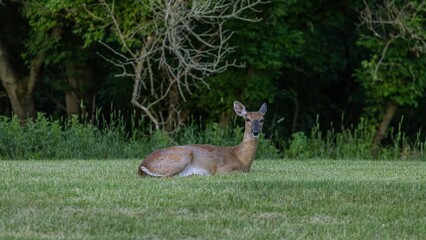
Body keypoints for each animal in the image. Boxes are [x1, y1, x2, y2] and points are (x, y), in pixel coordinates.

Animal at [138, 100, 268, 177]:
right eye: (247, 119)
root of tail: (141, 166)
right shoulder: (222, 169)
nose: (255, 132)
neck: (242, 159)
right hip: (183, 156)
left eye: (262, 120)